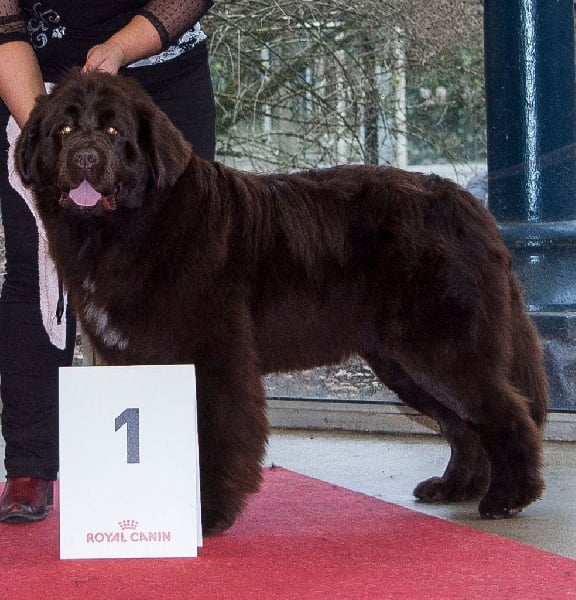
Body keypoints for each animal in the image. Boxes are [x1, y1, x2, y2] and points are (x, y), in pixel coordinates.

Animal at [16, 70, 548, 535]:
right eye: (64, 129)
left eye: (113, 130)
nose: (85, 157)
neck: (132, 227)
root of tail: (469, 206)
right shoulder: (141, 359)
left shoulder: (214, 359)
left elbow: (215, 435)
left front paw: (206, 515)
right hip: (403, 362)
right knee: (463, 425)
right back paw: (454, 487)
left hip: (439, 348)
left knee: (506, 413)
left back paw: (507, 498)